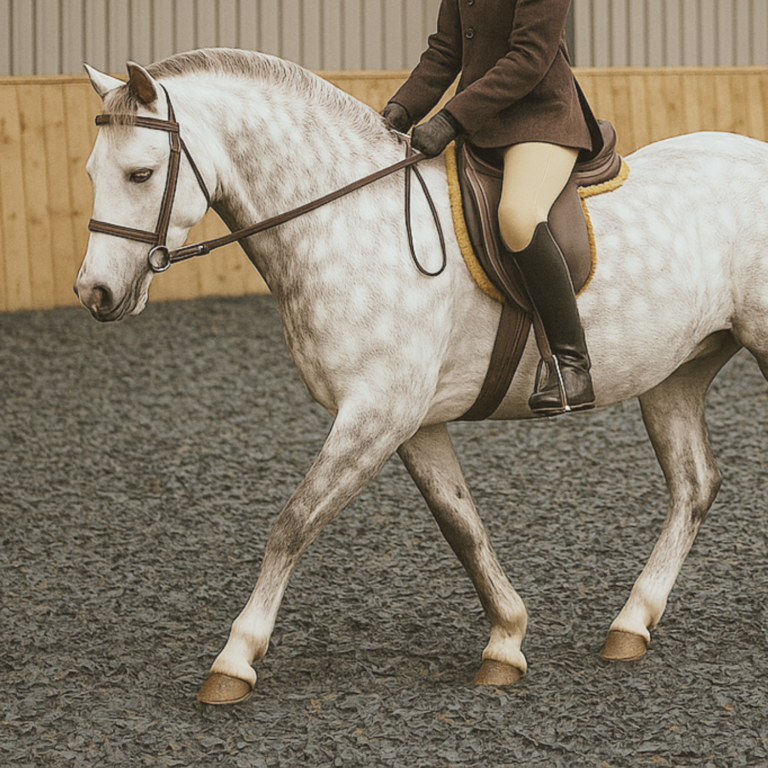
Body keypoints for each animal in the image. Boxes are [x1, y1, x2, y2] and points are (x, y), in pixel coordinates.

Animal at [76, 49, 768, 705]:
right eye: (90, 173)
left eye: (141, 173)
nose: (94, 293)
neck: (348, 219)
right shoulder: (412, 422)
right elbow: (461, 527)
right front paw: (506, 642)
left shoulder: (376, 413)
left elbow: (293, 523)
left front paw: (235, 660)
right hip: (677, 373)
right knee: (694, 484)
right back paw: (631, 624)